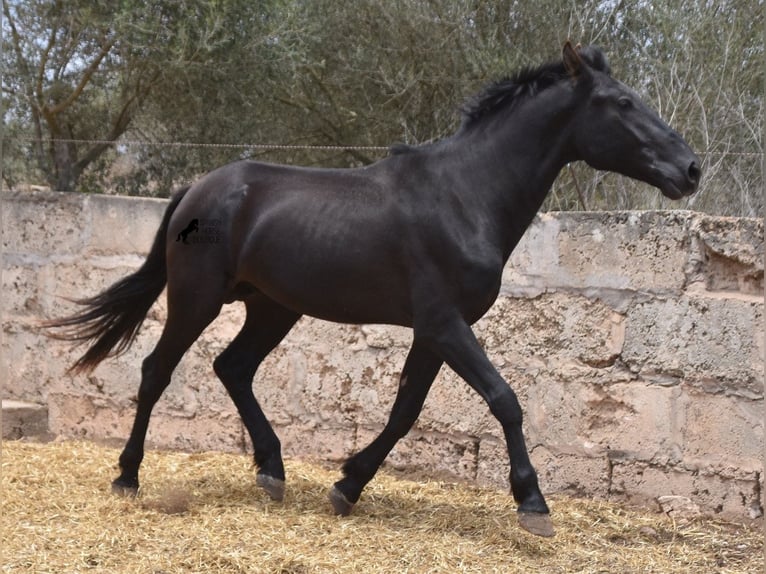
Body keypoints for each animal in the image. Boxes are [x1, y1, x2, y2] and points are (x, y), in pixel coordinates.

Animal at [45, 44, 700, 540]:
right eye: (622, 103)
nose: (691, 169)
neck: (464, 195)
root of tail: (197, 189)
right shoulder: (444, 324)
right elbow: (505, 399)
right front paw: (533, 504)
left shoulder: (435, 332)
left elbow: (404, 411)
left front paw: (346, 485)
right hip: (196, 298)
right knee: (157, 370)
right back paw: (128, 477)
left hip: (273, 309)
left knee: (232, 368)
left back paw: (272, 471)